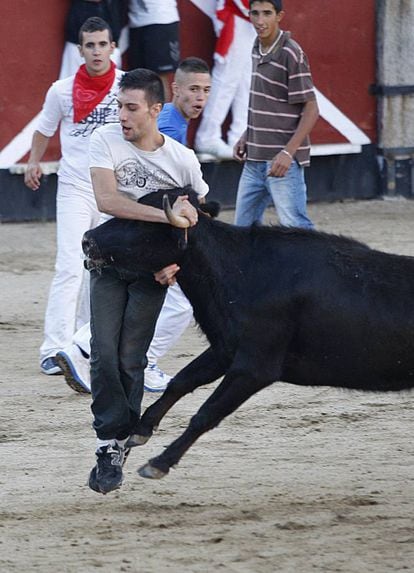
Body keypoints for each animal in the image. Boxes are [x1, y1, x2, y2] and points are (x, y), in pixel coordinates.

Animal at [83, 188, 414, 478]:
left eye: (143, 221)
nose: (88, 240)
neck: (241, 271)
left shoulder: (254, 368)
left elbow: (206, 413)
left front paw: (159, 463)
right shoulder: (224, 349)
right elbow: (182, 381)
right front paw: (139, 431)